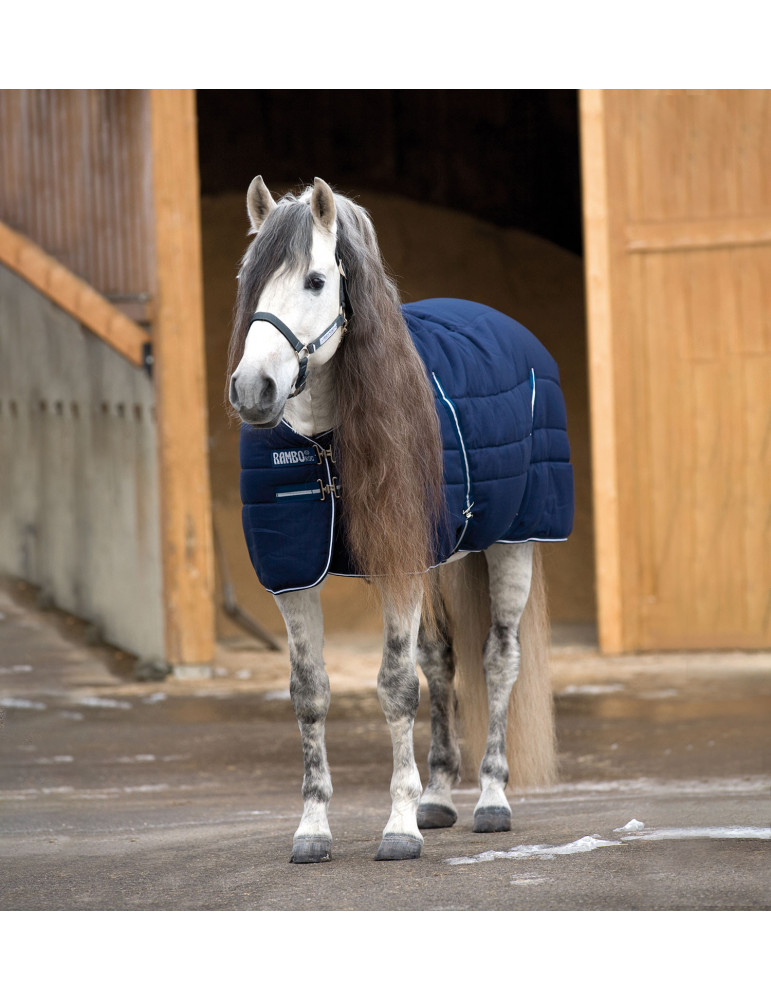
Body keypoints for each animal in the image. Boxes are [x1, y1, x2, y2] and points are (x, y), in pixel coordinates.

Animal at [226, 176, 574, 863]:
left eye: (315, 281)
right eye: (249, 281)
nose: (254, 389)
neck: (325, 443)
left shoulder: (401, 568)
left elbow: (394, 686)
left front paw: (399, 827)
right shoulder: (294, 576)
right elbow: (311, 693)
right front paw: (314, 828)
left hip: (511, 545)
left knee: (499, 660)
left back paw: (491, 799)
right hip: (442, 559)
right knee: (442, 661)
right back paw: (439, 796)